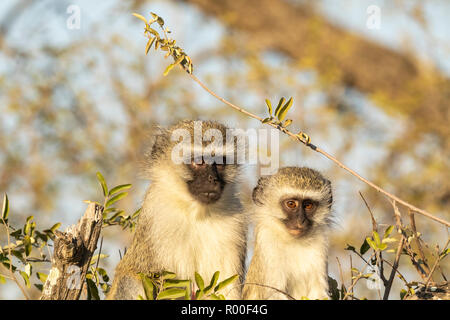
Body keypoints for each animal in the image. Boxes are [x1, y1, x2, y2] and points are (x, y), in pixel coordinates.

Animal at [109, 120, 250, 300]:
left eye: (219, 163)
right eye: (199, 162)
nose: (213, 179)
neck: (195, 211)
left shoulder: (235, 225)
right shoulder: (155, 214)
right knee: (129, 280)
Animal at [243, 168, 334, 300]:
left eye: (308, 205)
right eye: (291, 204)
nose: (300, 220)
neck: (293, 241)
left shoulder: (320, 243)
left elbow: (319, 292)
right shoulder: (267, 240)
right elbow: (274, 294)